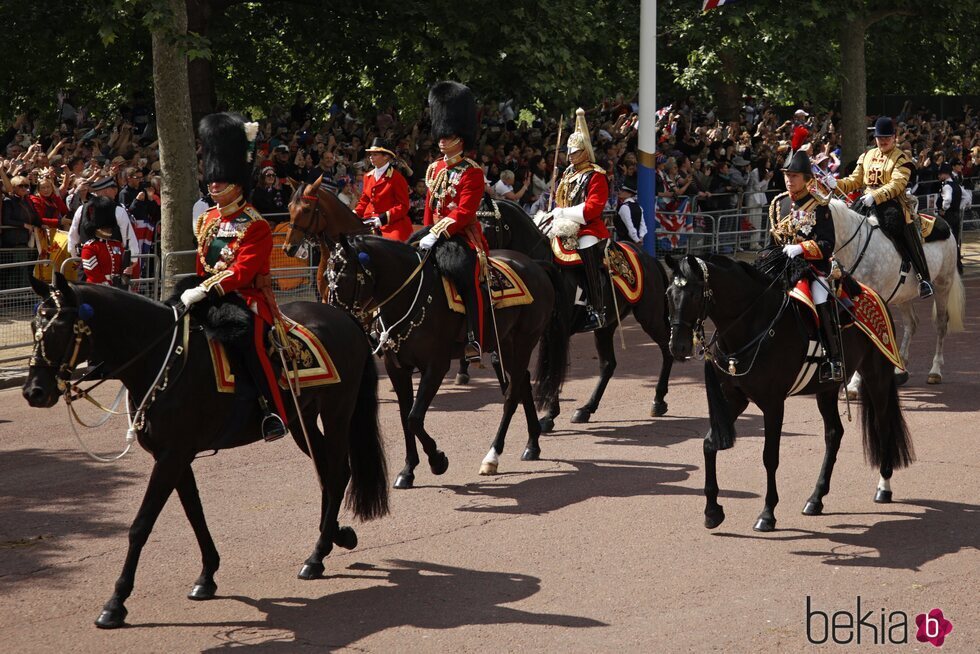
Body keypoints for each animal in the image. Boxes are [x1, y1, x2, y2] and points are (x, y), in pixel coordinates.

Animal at [21, 272, 388, 632]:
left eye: (58, 328)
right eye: (34, 326)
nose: (33, 392)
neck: (163, 359)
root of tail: (344, 317)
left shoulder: (173, 455)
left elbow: (141, 525)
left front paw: (115, 603)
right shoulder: (175, 455)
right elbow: (194, 513)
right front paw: (207, 575)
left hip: (337, 412)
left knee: (337, 474)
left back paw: (317, 555)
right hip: (301, 419)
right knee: (329, 474)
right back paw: (333, 538)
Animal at [284, 182, 568, 490]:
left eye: (345, 276)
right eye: (328, 276)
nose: (288, 247)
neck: (406, 294)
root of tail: (535, 265)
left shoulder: (435, 366)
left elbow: (414, 418)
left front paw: (437, 460)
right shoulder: (397, 368)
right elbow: (405, 416)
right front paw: (408, 469)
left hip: (524, 340)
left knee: (513, 390)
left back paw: (493, 454)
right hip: (504, 343)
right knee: (522, 382)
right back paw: (532, 443)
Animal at [464, 200, 668, 430]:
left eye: (488, 227)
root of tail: (648, 257)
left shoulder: (553, 331)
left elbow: (552, 367)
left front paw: (548, 416)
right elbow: (499, 361)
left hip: (650, 317)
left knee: (666, 347)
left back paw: (658, 400)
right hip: (606, 327)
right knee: (608, 364)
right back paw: (586, 409)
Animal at [664, 255, 916, 532]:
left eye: (694, 295)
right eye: (669, 293)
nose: (677, 347)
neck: (752, 324)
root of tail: (875, 294)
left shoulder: (773, 403)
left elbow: (769, 457)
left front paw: (767, 514)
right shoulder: (734, 398)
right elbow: (709, 444)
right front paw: (712, 511)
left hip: (876, 374)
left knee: (883, 426)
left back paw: (883, 487)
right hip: (826, 389)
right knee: (833, 433)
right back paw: (816, 499)